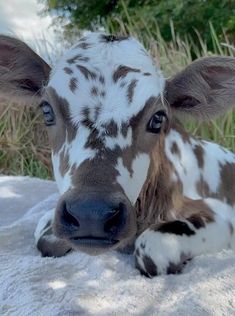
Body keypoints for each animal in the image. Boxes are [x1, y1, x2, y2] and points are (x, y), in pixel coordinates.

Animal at [0, 33, 235, 278]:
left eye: (158, 118)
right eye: (47, 111)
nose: (91, 213)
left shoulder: (222, 215)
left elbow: (153, 247)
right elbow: (45, 237)